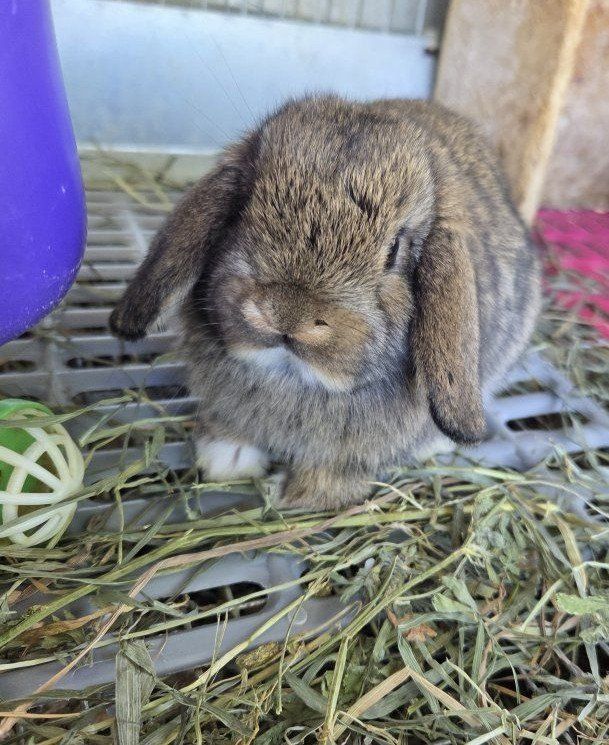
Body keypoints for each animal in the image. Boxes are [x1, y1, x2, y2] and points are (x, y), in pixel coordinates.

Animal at [110, 95, 541, 509]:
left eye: (395, 252)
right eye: (243, 208)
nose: (286, 315)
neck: (293, 378)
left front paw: (285, 494)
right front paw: (226, 459)